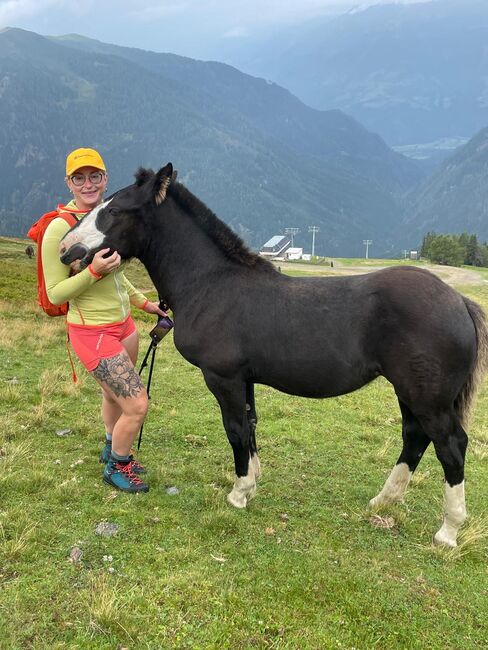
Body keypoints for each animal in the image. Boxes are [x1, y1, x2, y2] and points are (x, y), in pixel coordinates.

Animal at [60, 162, 488, 540]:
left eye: (114, 210)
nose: (66, 249)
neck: (212, 284)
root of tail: (459, 301)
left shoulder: (224, 377)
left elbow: (235, 429)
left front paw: (238, 493)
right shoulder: (244, 379)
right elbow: (250, 426)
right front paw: (252, 482)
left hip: (427, 397)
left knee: (450, 446)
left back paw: (448, 530)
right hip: (409, 391)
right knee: (415, 437)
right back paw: (383, 501)